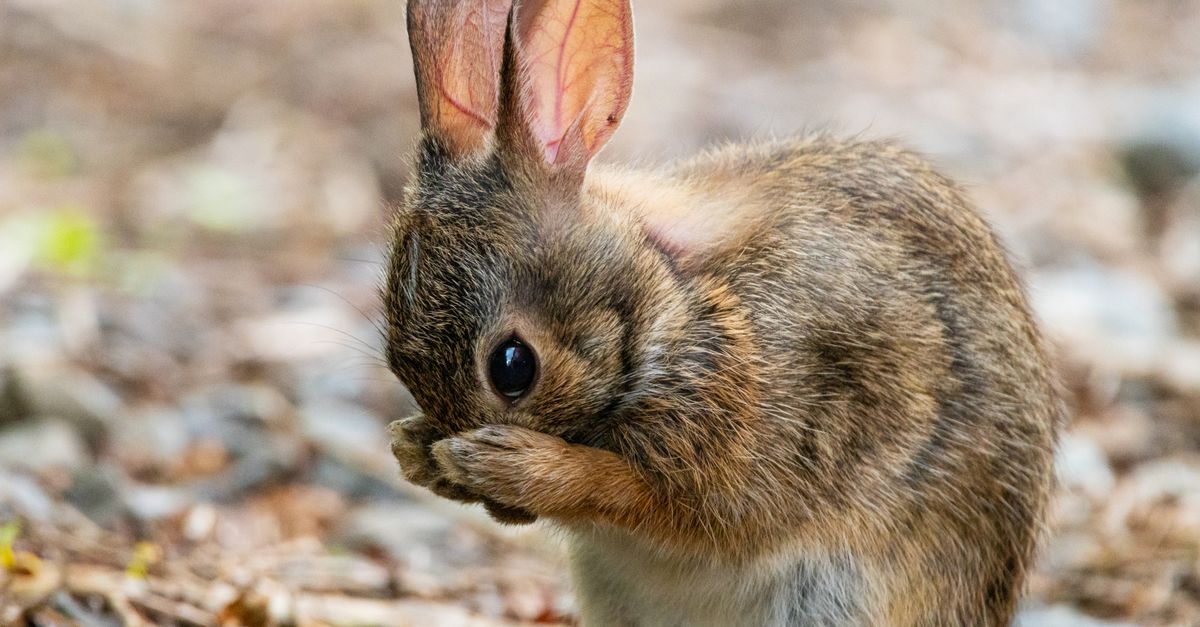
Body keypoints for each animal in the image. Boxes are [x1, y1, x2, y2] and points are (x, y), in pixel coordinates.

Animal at [382, 0, 1064, 625]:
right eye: (397, 364)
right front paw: (414, 450)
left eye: (513, 366)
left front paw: (506, 465)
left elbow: (644, 498)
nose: (504, 514)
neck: (664, 300)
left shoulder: (760, 446)